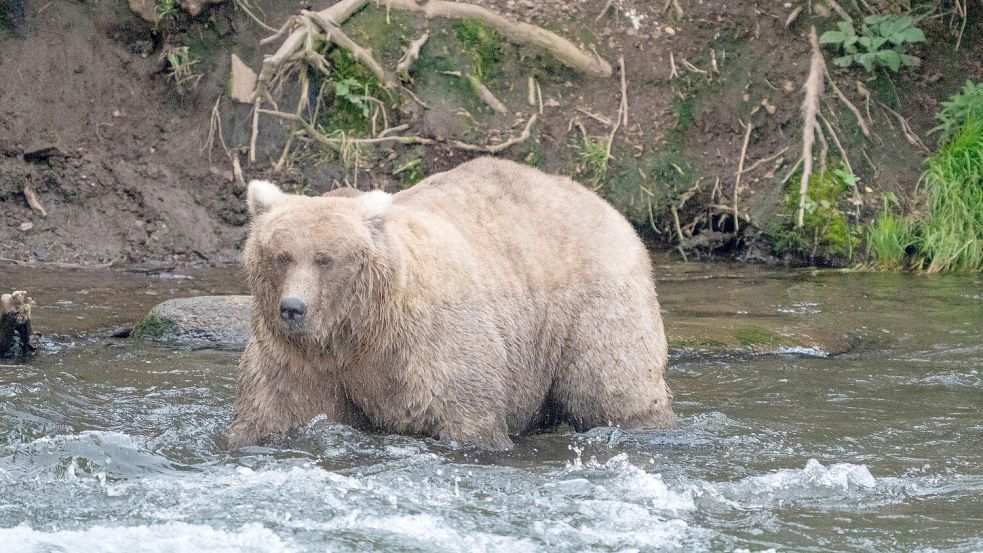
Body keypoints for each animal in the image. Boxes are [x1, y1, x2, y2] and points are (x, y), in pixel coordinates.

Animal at [231, 155, 676, 448]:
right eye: (281, 256)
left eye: (325, 259)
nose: (293, 308)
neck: (356, 331)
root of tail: (605, 204)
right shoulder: (298, 359)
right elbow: (275, 411)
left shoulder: (427, 346)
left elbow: (465, 413)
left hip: (592, 306)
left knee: (613, 386)